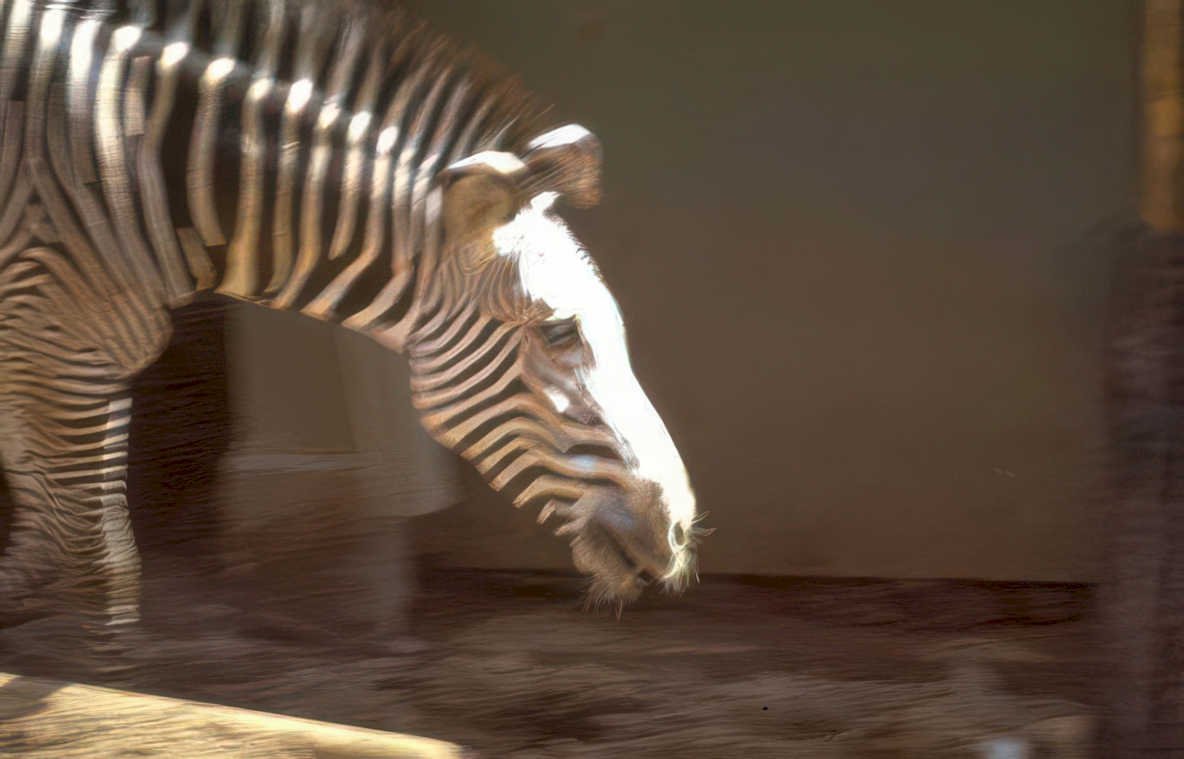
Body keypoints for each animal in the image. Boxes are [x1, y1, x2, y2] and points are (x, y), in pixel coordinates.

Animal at [0, 0, 700, 646]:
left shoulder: (53, 354)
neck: (139, 170)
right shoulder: (59, 349)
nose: (679, 531)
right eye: (561, 333)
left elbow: (49, 534)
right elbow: (97, 565)